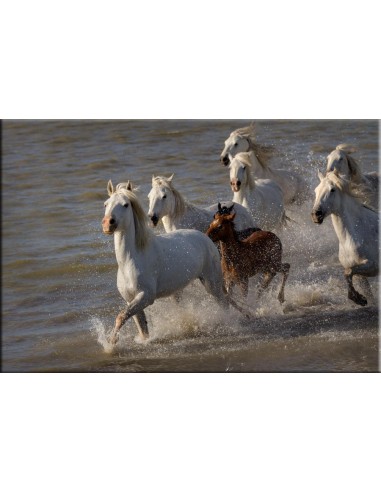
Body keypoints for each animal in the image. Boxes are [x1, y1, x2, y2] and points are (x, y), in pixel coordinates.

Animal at [101, 181, 229, 346]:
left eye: (125, 205)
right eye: (106, 204)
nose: (108, 224)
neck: (131, 260)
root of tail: (205, 237)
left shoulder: (146, 297)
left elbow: (121, 316)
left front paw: (111, 343)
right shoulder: (131, 299)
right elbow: (140, 327)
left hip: (211, 284)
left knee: (223, 303)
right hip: (178, 292)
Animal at [312, 171, 378, 306]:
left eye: (332, 190)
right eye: (316, 190)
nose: (316, 214)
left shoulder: (373, 266)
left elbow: (347, 272)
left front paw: (358, 298)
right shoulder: (360, 274)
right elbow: (349, 275)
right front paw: (360, 298)